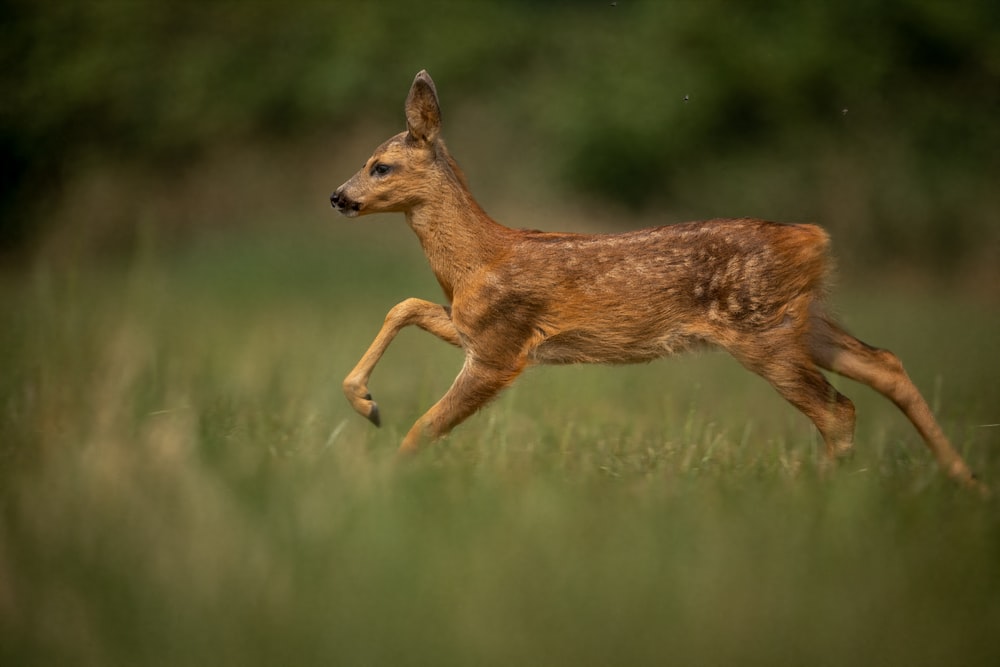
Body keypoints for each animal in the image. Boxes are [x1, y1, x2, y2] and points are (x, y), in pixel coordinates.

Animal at [330, 70, 984, 494]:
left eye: (380, 166)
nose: (337, 196)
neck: (478, 260)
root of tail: (812, 240)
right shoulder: (473, 325)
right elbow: (405, 304)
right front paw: (365, 403)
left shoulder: (500, 347)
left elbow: (427, 424)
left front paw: (385, 473)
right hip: (805, 321)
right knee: (886, 364)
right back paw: (967, 481)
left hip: (762, 332)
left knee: (839, 409)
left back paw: (824, 499)